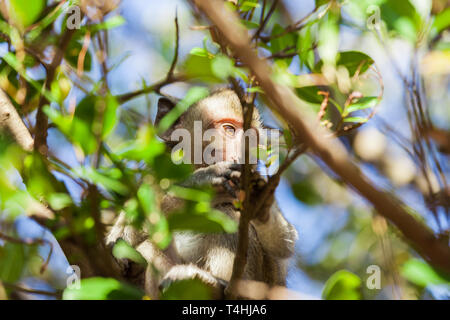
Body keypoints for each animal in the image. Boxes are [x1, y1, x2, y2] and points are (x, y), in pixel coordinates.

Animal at [106, 89, 298, 298]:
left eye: (251, 140)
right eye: (229, 130)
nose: (242, 156)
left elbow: (283, 243)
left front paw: (258, 204)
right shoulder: (153, 178)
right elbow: (118, 243)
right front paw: (202, 183)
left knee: (228, 216)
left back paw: (215, 285)